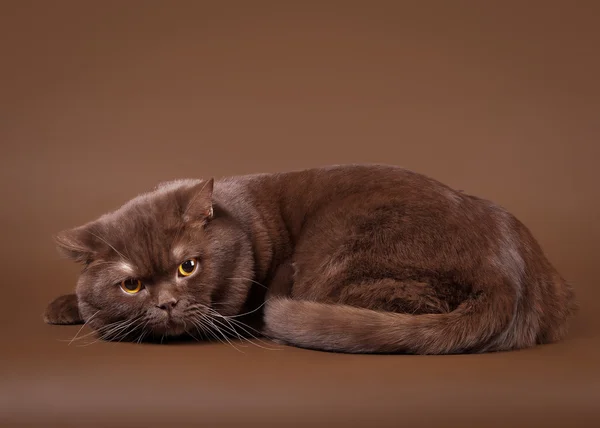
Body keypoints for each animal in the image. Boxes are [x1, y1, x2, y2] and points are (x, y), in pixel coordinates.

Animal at [44, 164, 580, 354]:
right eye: (131, 285)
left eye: (187, 267)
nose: (168, 304)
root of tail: (507, 272)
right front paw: (65, 307)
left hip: (341, 254)